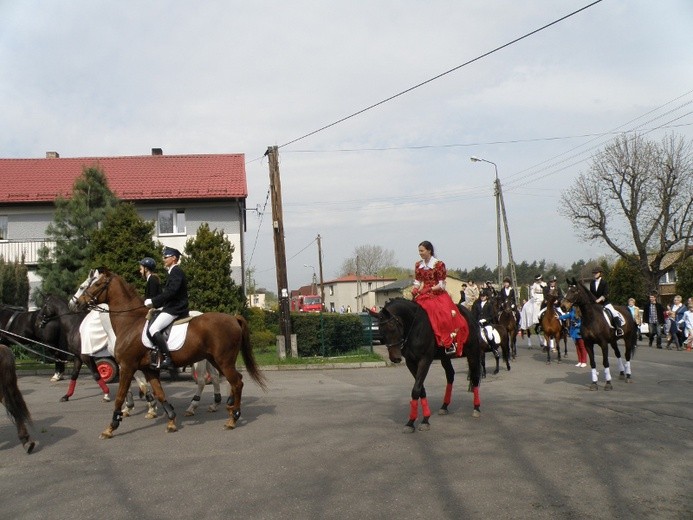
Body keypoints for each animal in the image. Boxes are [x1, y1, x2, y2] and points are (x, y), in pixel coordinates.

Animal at [70, 270, 264, 436]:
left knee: (235, 382)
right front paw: (170, 420)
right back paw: (228, 407)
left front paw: (111, 427)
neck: (129, 323)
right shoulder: (148, 369)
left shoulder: (127, 366)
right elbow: (159, 392)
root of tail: (233, 318)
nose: (76, 303)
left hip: (221, 361)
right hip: (216, 360)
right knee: (230, 380)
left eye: (95, 284)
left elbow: (120, 395)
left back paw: (232, 418)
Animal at [368, 298, 482, 432]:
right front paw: (414, 421)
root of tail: (468, 313)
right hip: (445, 357)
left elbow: (416, 389)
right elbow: (420, 388)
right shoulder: (411, 362)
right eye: (381, 331)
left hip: (472, 353)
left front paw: (421, 421)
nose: (395, 358)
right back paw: (444, 406)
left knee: (475, 377)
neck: (415, 326)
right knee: (450, 375)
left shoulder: (425, 360)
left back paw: (476, 408)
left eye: (392, 327)